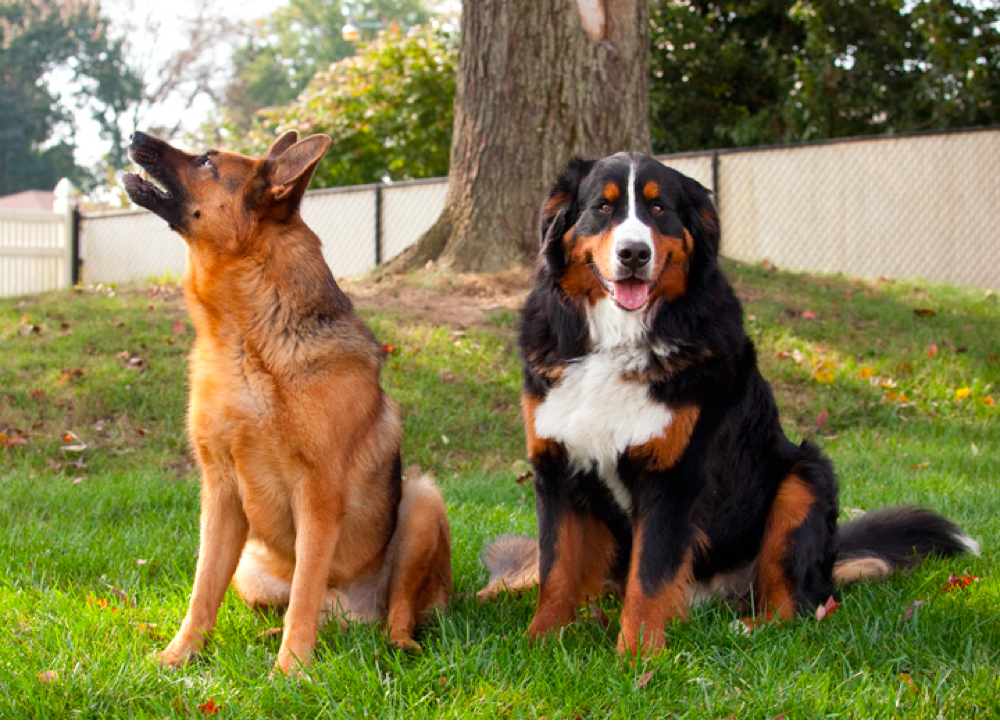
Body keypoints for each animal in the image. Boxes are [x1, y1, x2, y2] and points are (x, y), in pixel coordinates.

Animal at [123, 131, 452, 676]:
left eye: (207, 160)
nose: (135, 136)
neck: (244, 340)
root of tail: (354, 612)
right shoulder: (220, 495)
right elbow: (202, 590)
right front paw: (179, 654)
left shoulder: (317, 496)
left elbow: (304, 591)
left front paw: (291, 670)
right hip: (250, 569)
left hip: (422, 503)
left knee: (396, 610)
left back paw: (397, 644)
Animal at [480, 153, 980, 660]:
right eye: (603, 206)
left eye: (659, 208)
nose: (634, 254)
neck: (617, 341)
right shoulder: (558, 467)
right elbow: (557, 569)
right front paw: (541, 643)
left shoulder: (674, 476)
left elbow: (650, 576)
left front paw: (637, 656)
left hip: (804, 476)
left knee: (797, 603)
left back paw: (750, 626)